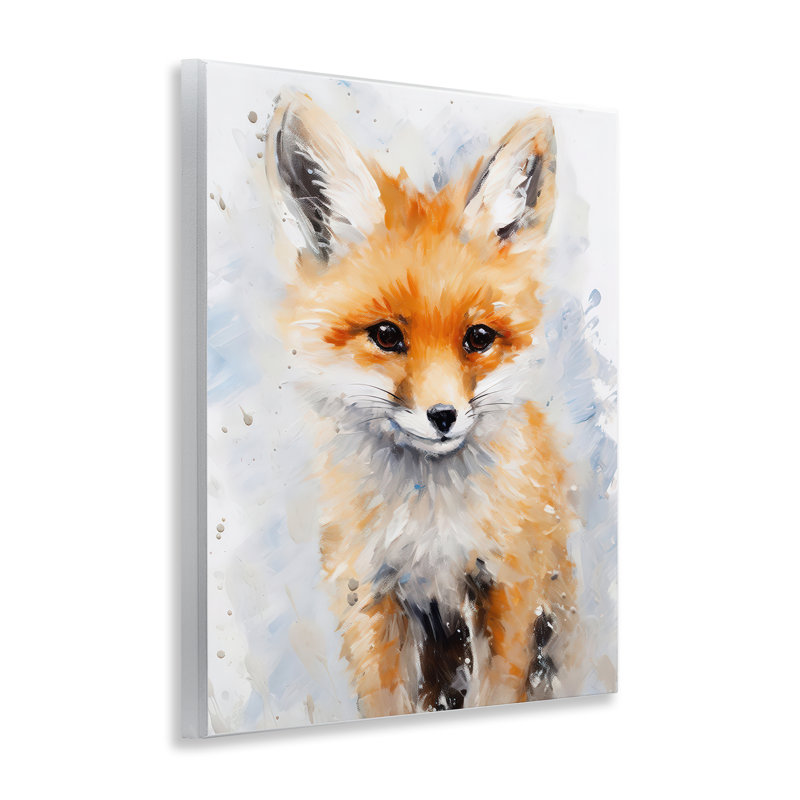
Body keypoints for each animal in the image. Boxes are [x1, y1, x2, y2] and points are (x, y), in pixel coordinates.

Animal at [265, 91, 580, 717]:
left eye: (478, 337)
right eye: (387, 335)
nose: (444, 418)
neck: (431, 529)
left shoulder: (508, 589)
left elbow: (496, 693)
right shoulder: (369, 597)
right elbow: (385, 701)